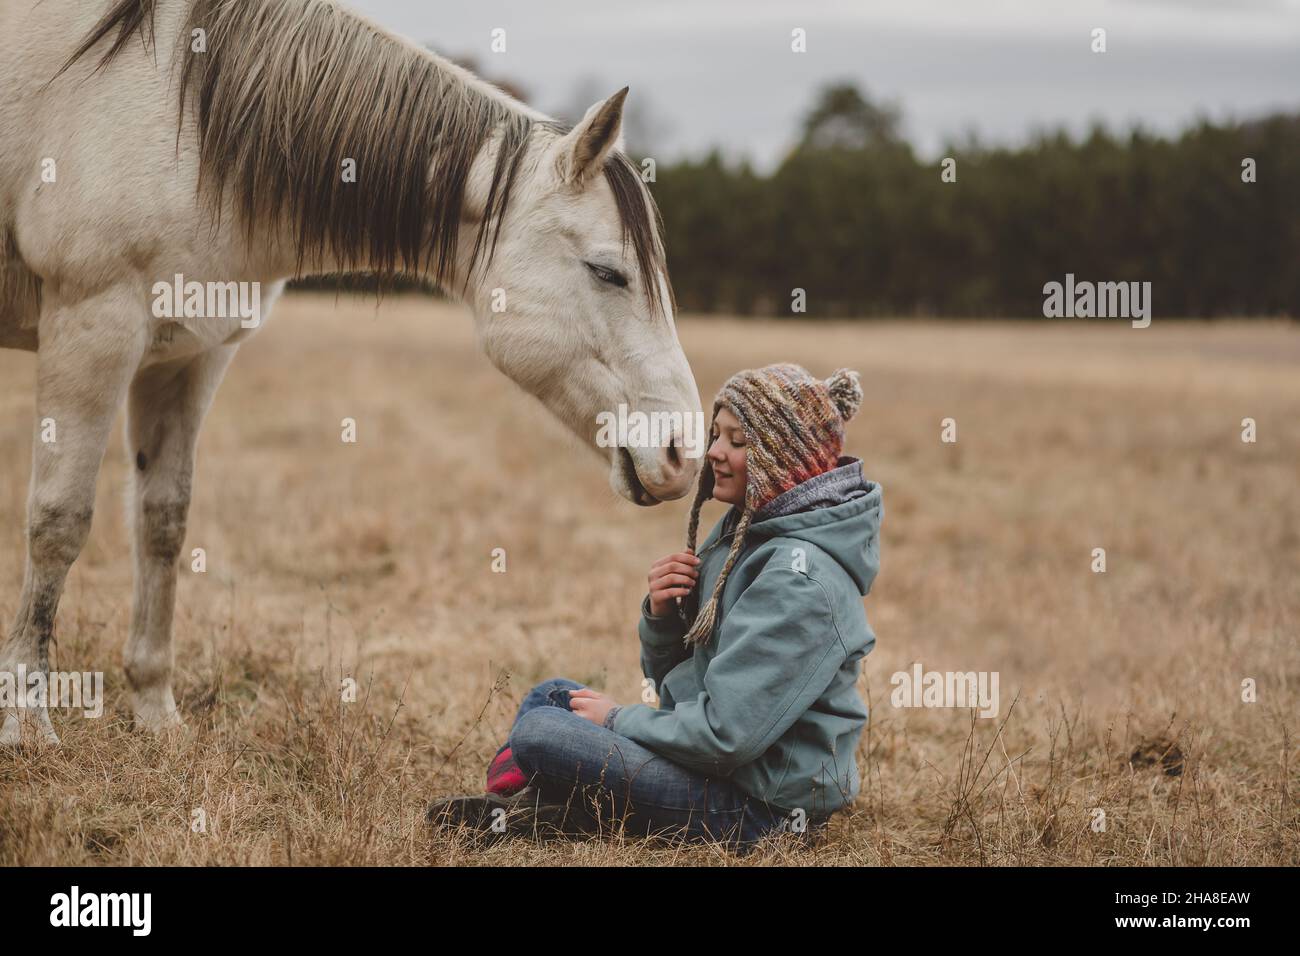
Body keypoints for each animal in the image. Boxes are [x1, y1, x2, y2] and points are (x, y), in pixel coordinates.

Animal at [0, 0, 702, 749]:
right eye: (606, 272)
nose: (681, 453)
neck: (184, 115)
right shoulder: (91, 330)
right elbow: (59, 521)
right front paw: (29, 723)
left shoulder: (191, 357)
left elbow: (162, 523)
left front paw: (157, 714)